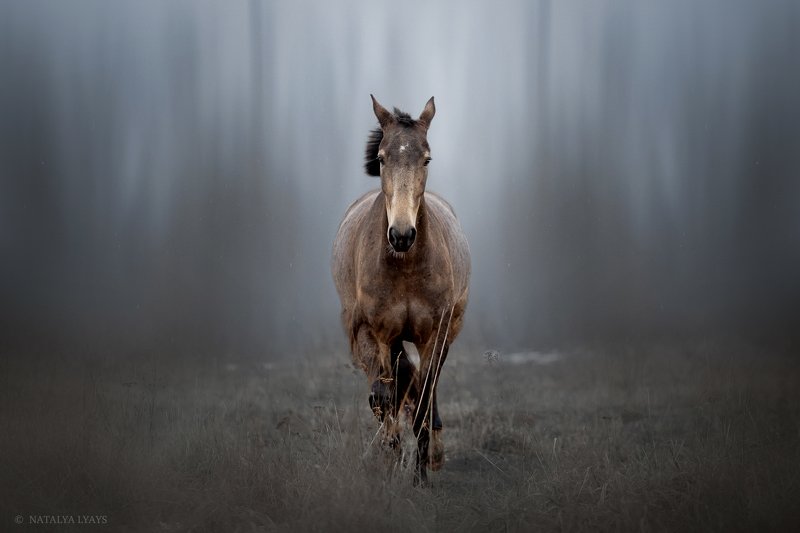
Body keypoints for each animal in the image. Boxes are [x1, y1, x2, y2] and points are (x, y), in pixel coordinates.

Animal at [331, 95, 470, 483]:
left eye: (427, 158)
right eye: (381, 158)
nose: (402, 235)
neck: (406, 267)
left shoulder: (433, 336)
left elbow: (421, 402)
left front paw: (421, 475)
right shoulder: (377, 334)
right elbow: (385, 396)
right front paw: (390, 457)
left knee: (428, 387)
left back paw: (433, 454)